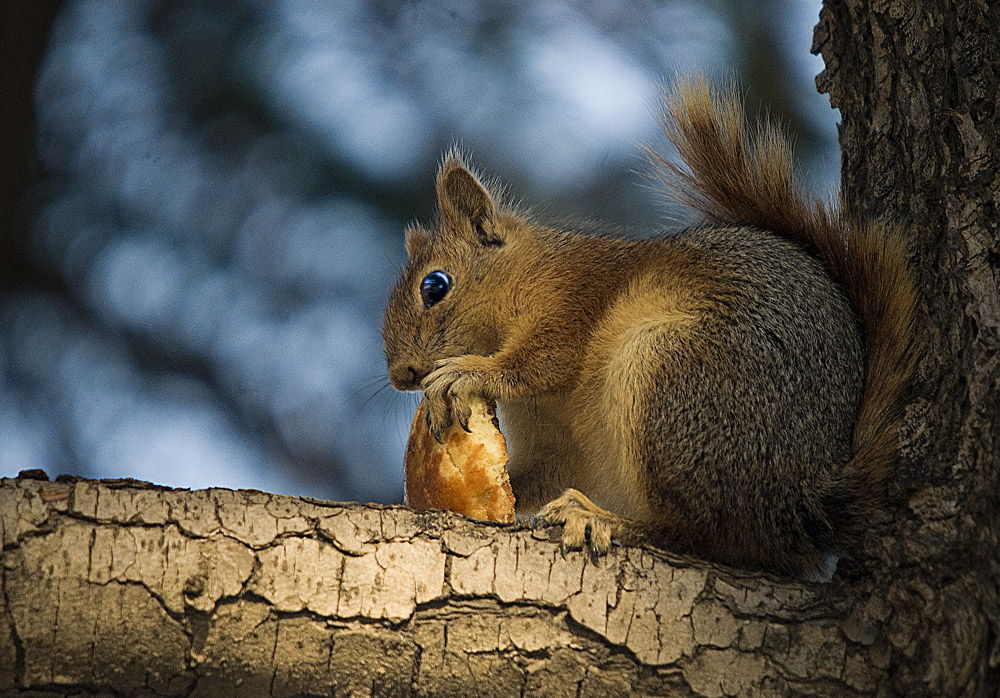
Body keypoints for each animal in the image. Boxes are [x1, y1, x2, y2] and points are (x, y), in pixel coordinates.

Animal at [380, 77, 916, 576]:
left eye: (434, 286)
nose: (401, 376)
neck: (524, 275)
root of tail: (805, 505)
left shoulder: (571, 303)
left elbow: (543, 361)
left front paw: (466, 372)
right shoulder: (557, 439)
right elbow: (542, 469)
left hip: (672, 379)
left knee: (699, 533)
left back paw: (600, 518)